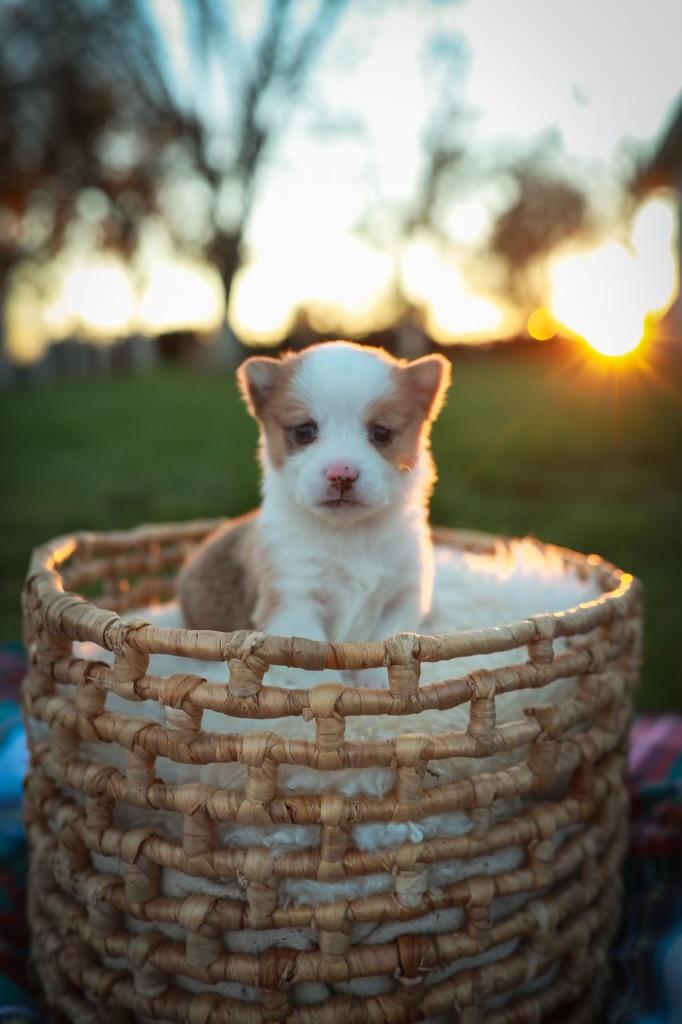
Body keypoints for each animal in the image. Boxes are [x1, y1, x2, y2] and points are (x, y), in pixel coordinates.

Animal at [178, 341, 450, 676]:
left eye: (381, 433)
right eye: (304, 431)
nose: (342, 474)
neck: (350, 535)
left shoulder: (403, 596)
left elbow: (388, 644)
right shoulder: (294, 602)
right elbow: (315, 665)